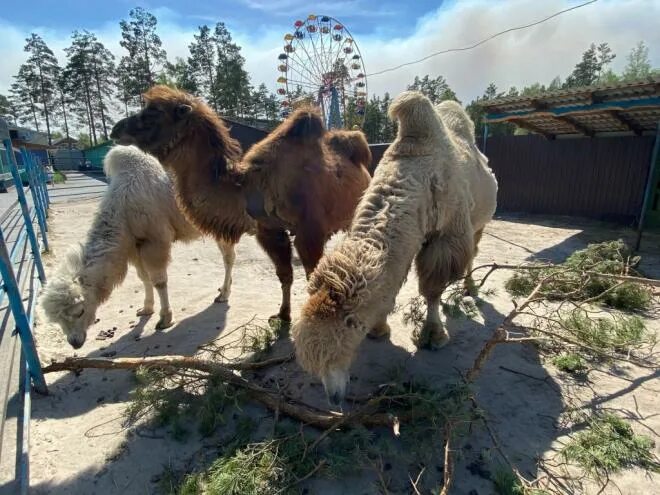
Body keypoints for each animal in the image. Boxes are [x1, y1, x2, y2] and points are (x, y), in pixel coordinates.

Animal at [111, 86, 374, 324]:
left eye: (154, 112)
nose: (116, 129)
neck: (248, 186)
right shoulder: (268, 230)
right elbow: (285, 275)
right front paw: (283, 315)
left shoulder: (308, 232)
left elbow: (312, 276)